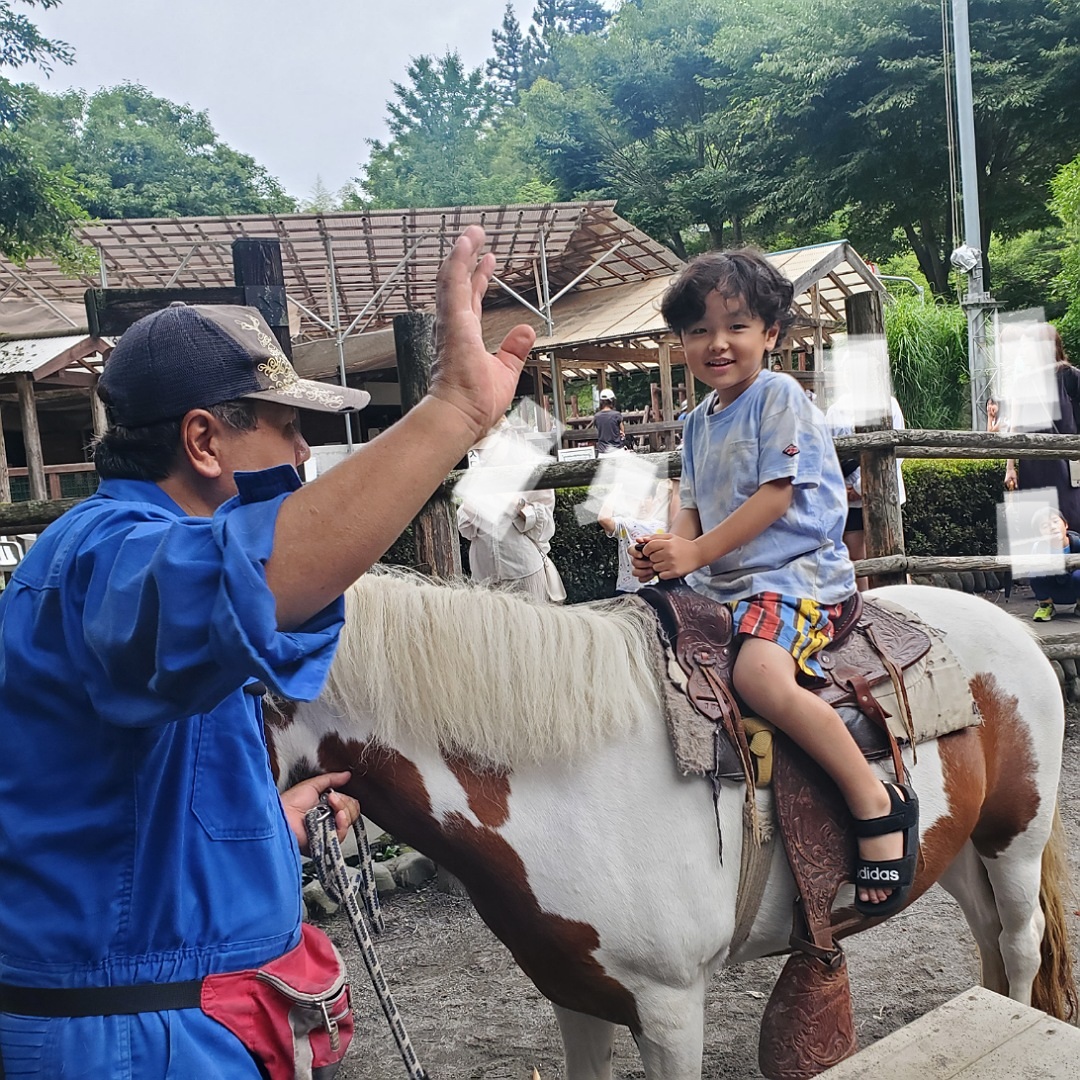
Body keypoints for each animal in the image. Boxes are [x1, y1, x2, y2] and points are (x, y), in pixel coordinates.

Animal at [265, 570, 1075, 1075]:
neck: (564, 780)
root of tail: (1008, 628)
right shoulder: (574, 993)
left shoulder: (669, 1009)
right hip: (957, 848)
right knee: (988, 942)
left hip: (1013, 839)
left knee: (1020, 942)